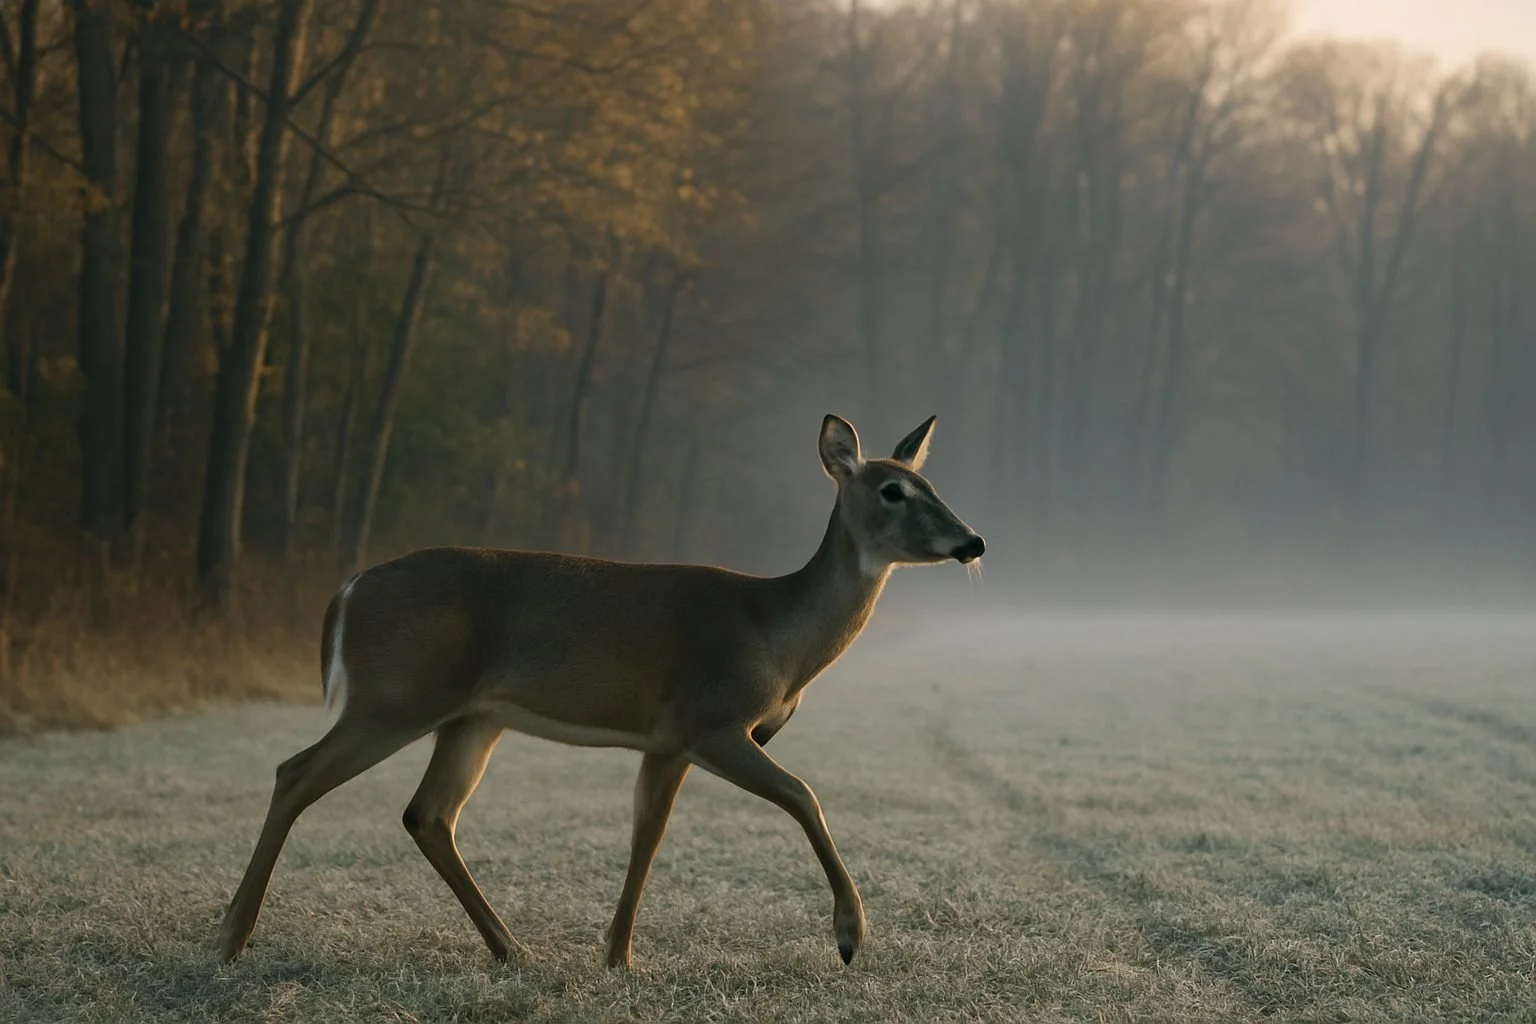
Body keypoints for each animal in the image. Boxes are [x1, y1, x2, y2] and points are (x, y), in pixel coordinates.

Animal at [215, 413, 984, 969]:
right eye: (893, 490)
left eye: (933, 484)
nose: (972, 541)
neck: (776, 633)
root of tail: (348, 590)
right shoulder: (710, 719)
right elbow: (804, 795)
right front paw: (851, 936)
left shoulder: (667, 740)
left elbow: (647, 834)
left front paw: (617, 955)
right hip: (395, 694)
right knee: (295, 772)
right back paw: (231, 936)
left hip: (471, 718)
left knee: (427, 813)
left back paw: (510, 947)